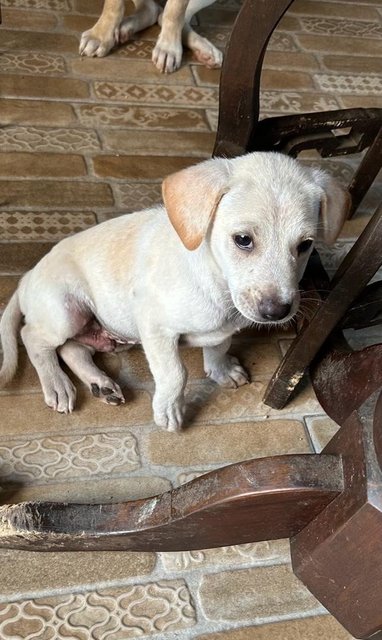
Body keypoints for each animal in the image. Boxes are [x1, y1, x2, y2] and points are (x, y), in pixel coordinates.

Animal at [0, 152, 350, 430]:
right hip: (66, 311)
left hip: (102, 331)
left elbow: (219, 345)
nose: (278, 312)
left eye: (305, 245)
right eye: (243, 240)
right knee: (34, 338)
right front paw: (169, 411)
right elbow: (175, 374)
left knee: (73, 349)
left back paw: (100, 383)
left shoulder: (222, 329)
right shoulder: (156, 328)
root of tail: (28, 277)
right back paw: (57, 385)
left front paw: (221, 370)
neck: (217, 283)